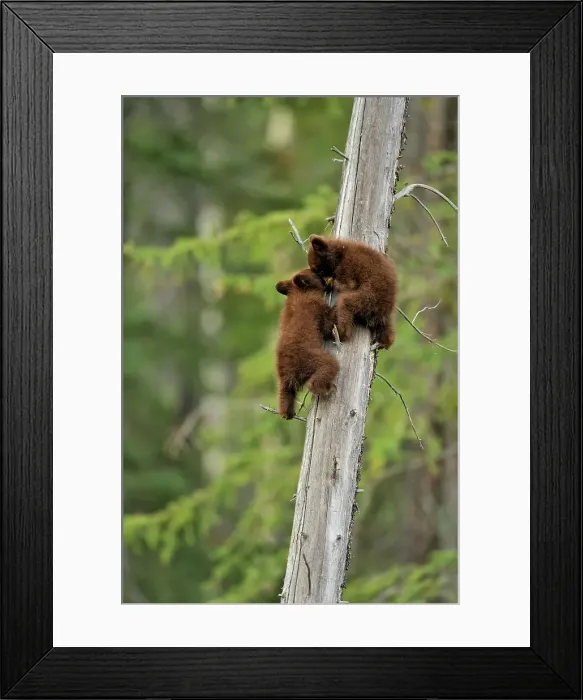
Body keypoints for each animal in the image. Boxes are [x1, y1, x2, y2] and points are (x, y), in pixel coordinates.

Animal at [275, 268, 340, 420]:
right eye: (317, 273)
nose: (329, 277)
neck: (298, 292)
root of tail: (290, 372)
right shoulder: (316, 306)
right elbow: (328, 325)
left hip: (282, 378)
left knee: (284, 393)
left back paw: (287, 413)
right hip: (310, 359)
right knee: (329, 365)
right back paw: (326, 389)